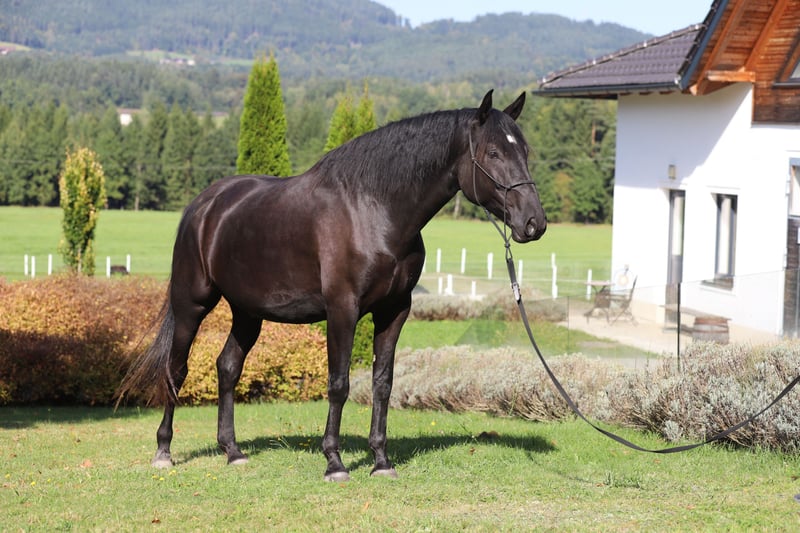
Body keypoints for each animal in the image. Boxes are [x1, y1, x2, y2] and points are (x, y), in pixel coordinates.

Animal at [117, 90, 547, 481]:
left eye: (525, 150)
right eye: (494, 153)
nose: (534, 223)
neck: (374, 211)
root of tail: (205, 205)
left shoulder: (395, 311)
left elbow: (382, 383)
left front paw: (381, 461)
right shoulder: (343, 309)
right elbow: (339, 383)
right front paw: (335, 463)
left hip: (247, 312)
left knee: (227, 367)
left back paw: (233, 451)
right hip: (192, 304)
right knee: (176, 369)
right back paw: (164, 451)